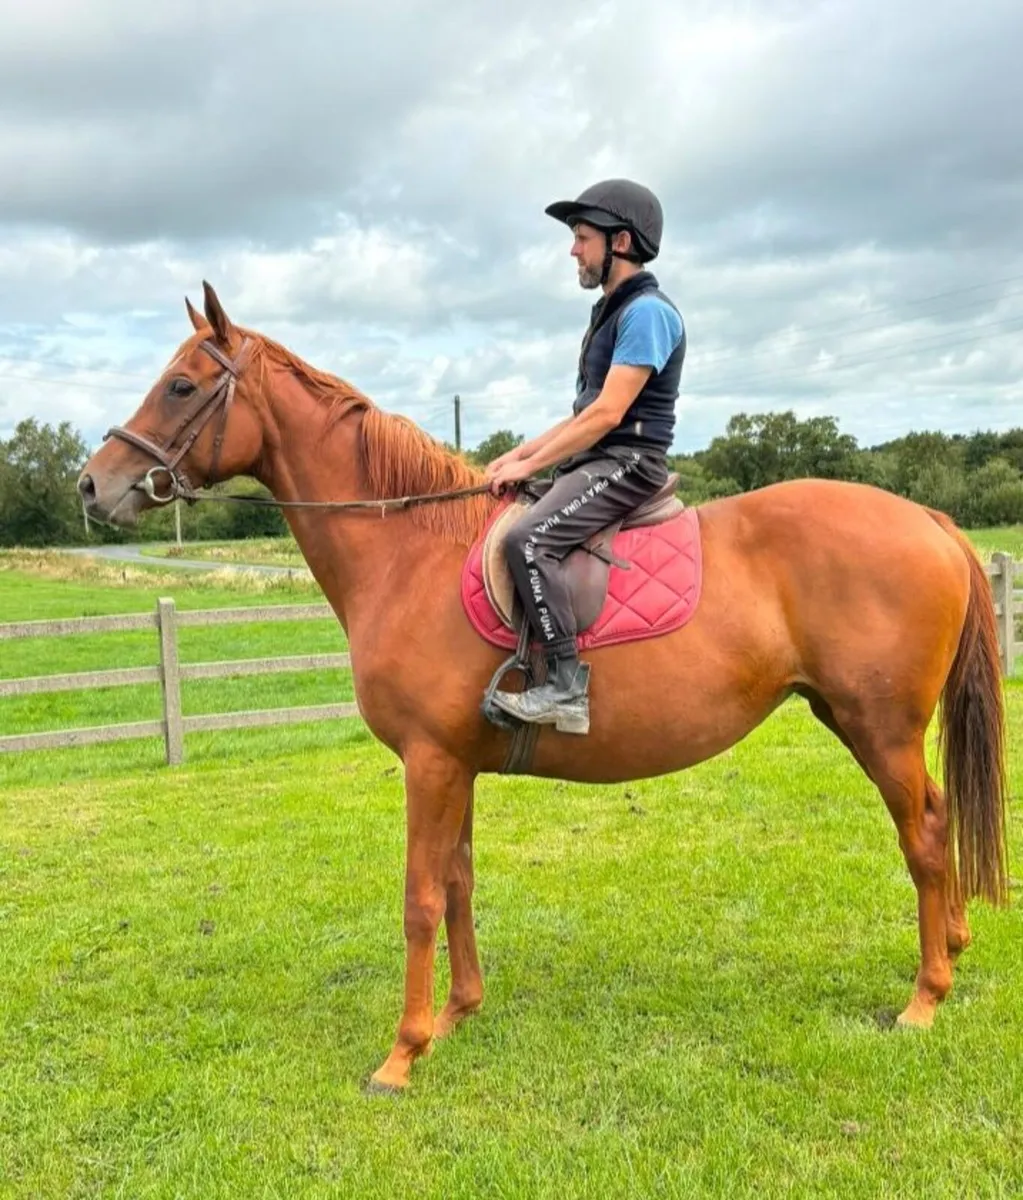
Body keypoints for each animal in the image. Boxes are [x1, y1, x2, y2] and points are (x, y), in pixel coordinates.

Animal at [77, 282, 1009, 1092]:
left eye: (181, 385)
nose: (93, 485)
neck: (410, 553)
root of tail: (928, 519)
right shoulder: (453, 765)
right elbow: (457, 881)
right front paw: (457, 1014)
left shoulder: (429, 763)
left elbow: (418, 896)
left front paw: (401, 1054)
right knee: (936, 822)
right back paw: (954, 947)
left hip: (877, 727)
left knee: (925, 834)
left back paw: (924, 998)